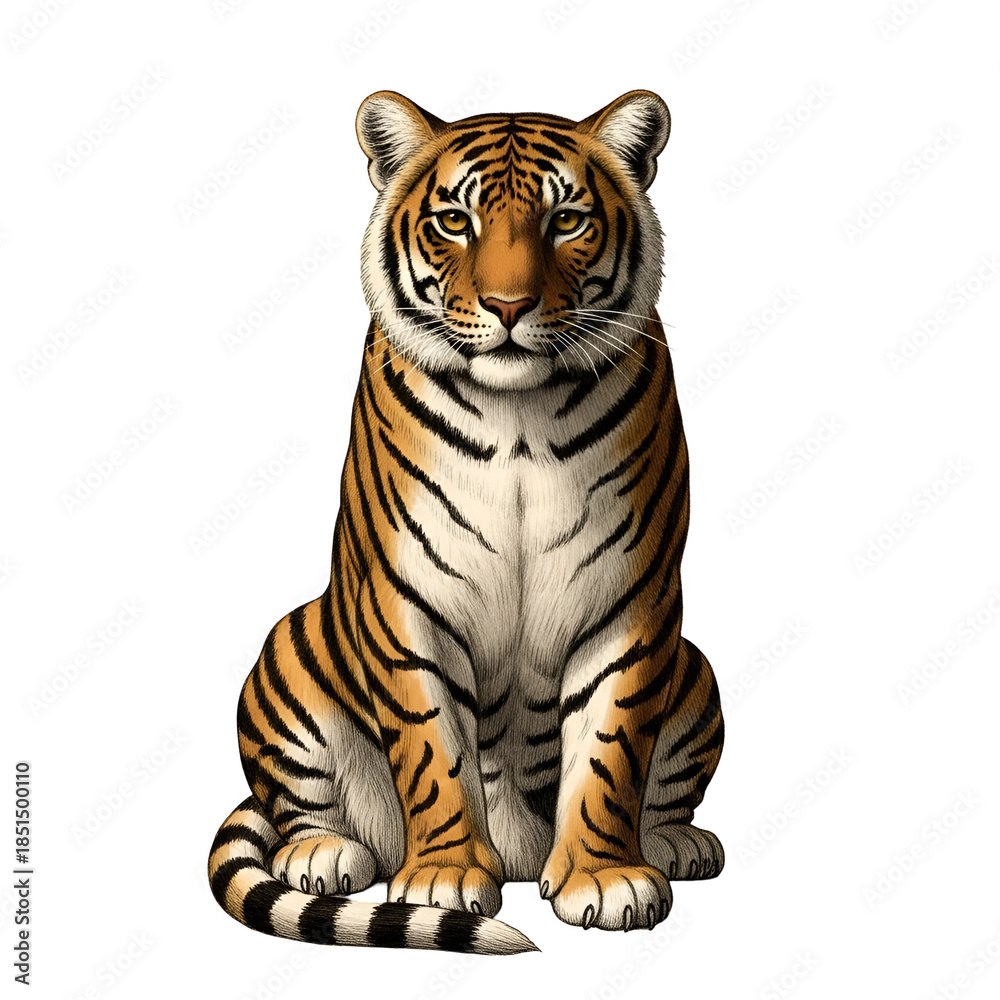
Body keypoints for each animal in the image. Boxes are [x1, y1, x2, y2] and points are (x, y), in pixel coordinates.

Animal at [208, 88, 724, 955]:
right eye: (456, 220)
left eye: (566, 219)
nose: (509, 306)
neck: (520, 417)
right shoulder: (406, 598)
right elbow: (432, 746)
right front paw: (444, 878)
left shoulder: (632, 600)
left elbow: (611, 749)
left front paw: (606, 879)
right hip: (287, 651)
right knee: (299, 809)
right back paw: (322, 854)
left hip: (697, 673)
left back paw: (675, 841)